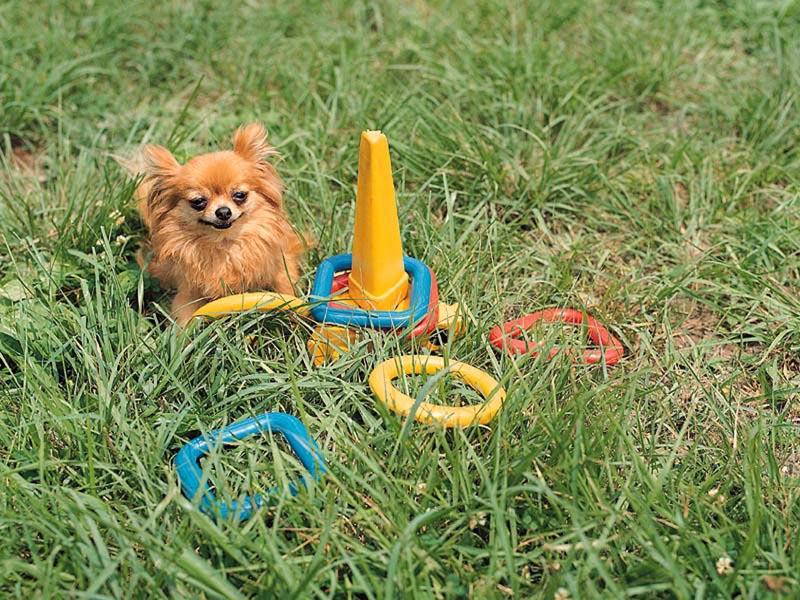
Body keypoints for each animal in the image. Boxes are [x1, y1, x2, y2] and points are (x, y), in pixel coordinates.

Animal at [131, 123, 302, 326]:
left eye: (239, 195)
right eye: (198, 202)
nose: (223, 212)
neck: (224, 244)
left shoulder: (279, 268)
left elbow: (285, 289)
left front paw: (297, 320)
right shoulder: (188, 292)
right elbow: (183, 316)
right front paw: (182, 335)